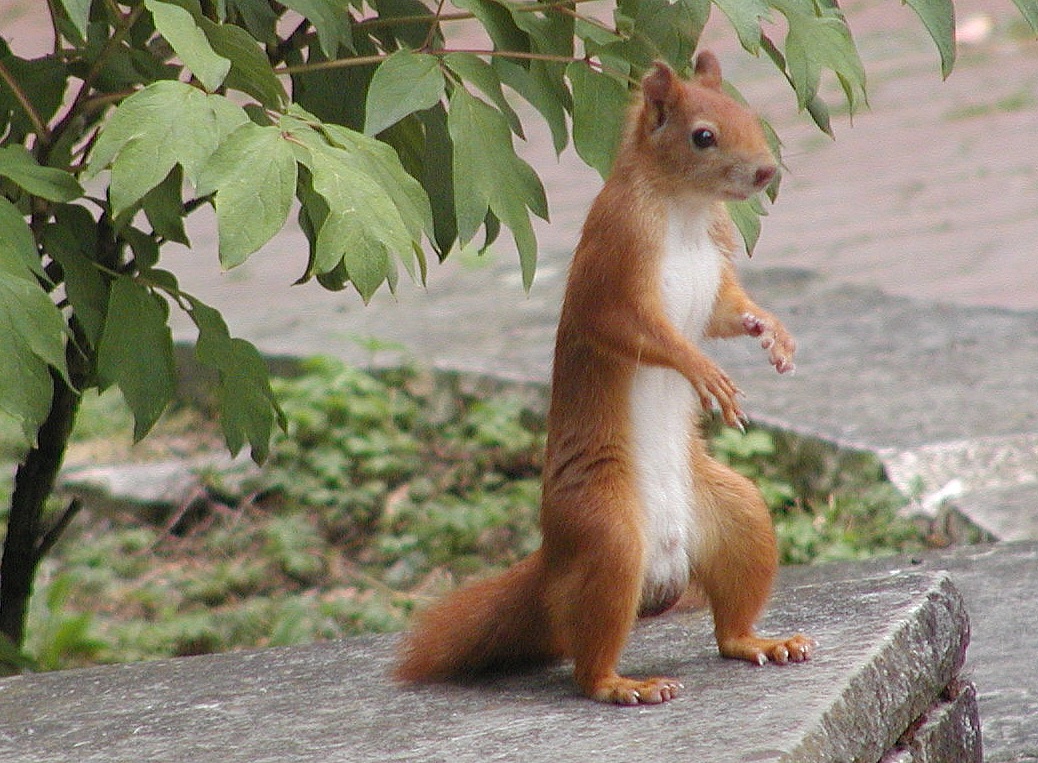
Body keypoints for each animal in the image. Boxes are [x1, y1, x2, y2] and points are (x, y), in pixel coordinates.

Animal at [394, 52, 809, 705]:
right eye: (703, 136)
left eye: (749, 114)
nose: (767, 171)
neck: (685, 211)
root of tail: (554, 561)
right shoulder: (614, 259)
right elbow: (630, 328)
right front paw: (703, 372)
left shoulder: (714, 277)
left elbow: (726, 311)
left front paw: (771, 331)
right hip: (609, 534)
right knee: (587, 662)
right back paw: (621, 685)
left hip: (739, 518)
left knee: (729, 625)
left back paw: (760, 642)